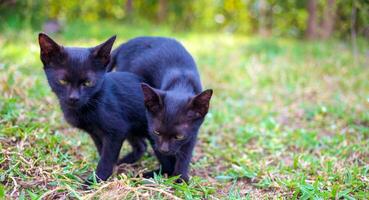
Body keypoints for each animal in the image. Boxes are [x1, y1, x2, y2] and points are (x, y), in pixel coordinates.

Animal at [108, 36, 213, 182]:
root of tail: (125, 44)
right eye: (157, 132)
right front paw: (166, 173)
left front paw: (181, 178)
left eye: (179, 136)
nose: (164, 149)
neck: (181, 82)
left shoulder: (192, 132)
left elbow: (185, 153)